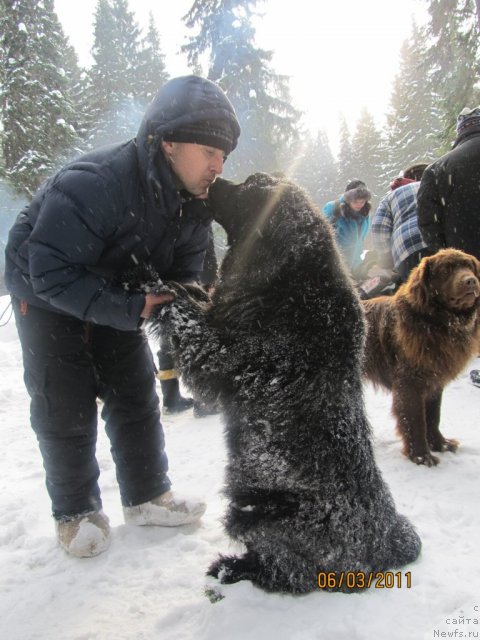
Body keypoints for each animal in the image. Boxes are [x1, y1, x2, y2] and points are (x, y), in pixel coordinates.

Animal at [149, 172, 420, 592]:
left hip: (254, 510)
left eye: (248, 186)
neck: (292, 276)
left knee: (287, 573)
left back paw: (234, 568)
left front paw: (150, 282)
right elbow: (195, 296)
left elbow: (187, 317)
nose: (215, 180)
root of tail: (382, 546)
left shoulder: (223, 356)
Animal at [364, 249, 480, 464]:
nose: (470, 281)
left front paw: (441, 444)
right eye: (446, 270)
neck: (433, 323)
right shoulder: (410, 383)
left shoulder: (435, 382)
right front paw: (421, 456)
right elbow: (415, 420)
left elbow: (433, 416)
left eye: (469, 266)